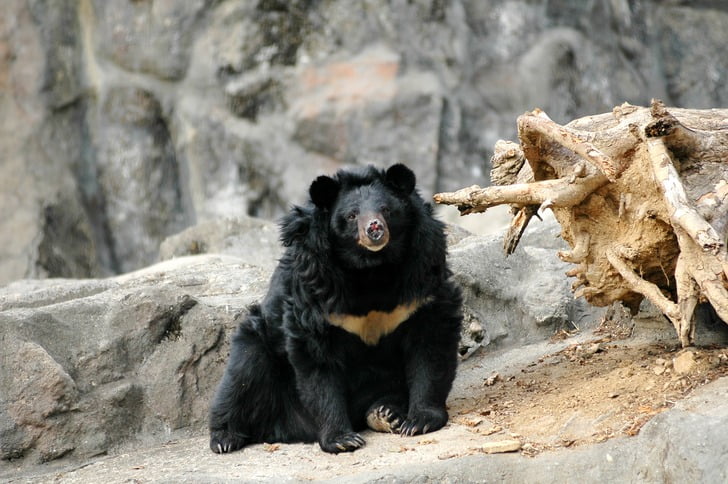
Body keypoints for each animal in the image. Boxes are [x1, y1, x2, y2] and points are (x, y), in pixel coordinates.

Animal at [208, 163, 464, 454]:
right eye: (352, 216)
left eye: (387, 210)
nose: (374, 228)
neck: (372, 268)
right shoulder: (317, 285)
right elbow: (317, 361)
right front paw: (342, 439)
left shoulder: (421, 273)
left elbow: (430, 343)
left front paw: (419, 421)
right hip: (258, 342)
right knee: (241, 375)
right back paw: (224, 438)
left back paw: (385, 413)